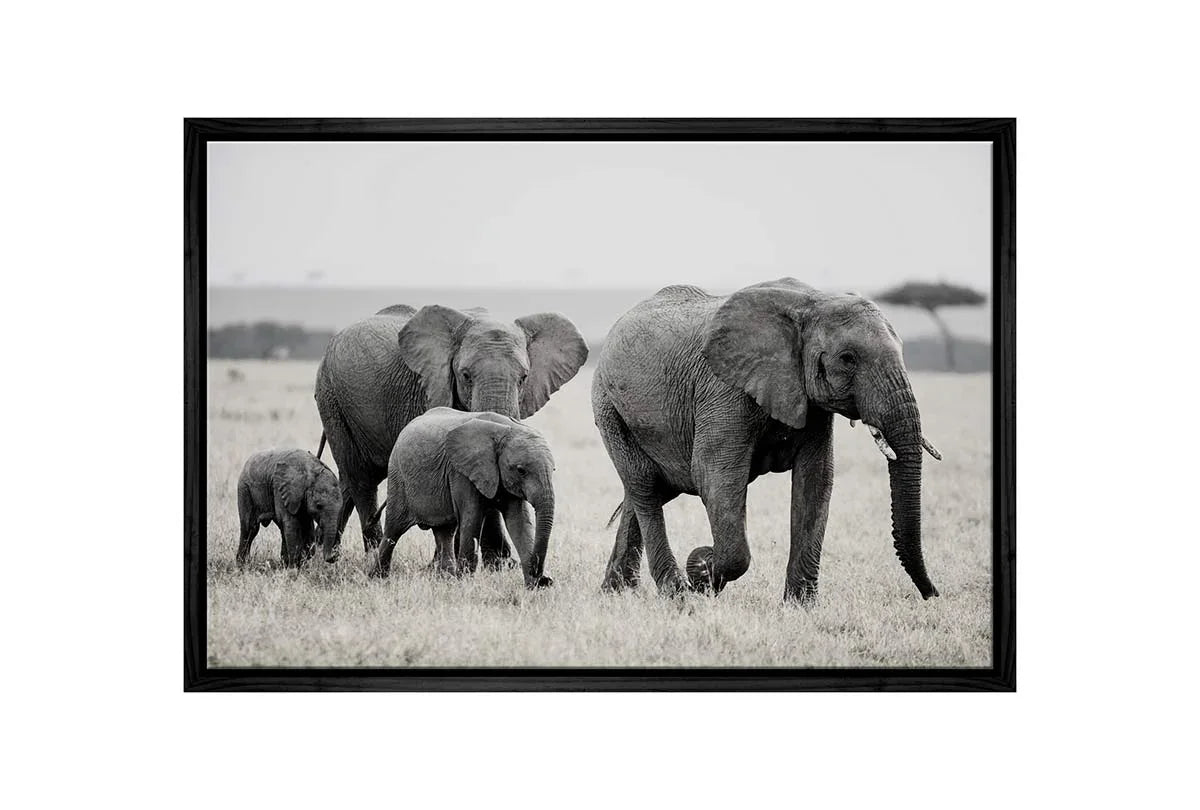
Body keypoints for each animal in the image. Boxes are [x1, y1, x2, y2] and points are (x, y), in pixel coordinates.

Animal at [314, 304, 588, 565]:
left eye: (524, 378)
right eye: (465, 376)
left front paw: (498, 563)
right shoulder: (429, 389)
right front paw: (492, 563)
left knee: (347, 481)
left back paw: (322, 554)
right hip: (333, 399)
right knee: (361, 478)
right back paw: (364, 554)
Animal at [369, 408, 557, 589]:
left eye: (554, 470)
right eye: (521, 470)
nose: (546, 579)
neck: (507, 430)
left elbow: (519, 522)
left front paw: (533, 587)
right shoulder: (461, 473)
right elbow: (471, 519)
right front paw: (465, 583)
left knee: (444, 532)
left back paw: (446, 579)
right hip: (398, 478)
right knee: (393, 531)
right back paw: (377, 578)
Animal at [591, 279, 941, 603]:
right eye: (847, 358)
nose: (932, 594)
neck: (813, 302)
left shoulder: (809, 402)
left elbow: (816, 480)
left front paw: (800, 607)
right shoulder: (724, 390)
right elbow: (715, 476)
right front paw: (702, 571)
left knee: (650, 489)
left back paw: (616, 592)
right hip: (608, 406)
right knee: (646, 486)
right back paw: (674, 593)